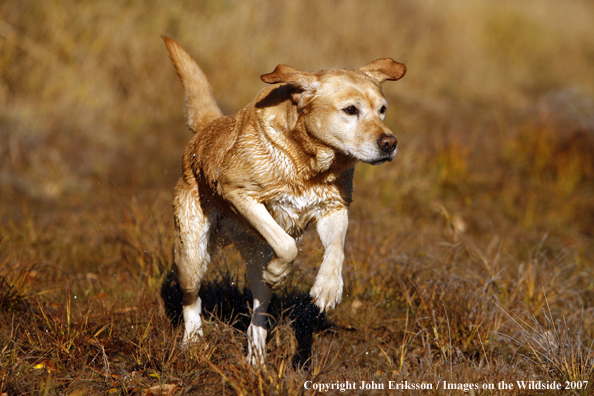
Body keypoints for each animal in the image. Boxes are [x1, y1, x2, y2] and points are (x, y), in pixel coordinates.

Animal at [162, 35, 402, 364]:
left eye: (383, 109)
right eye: (350, 110)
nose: (390, 143)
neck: (308, 163)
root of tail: (206, 128)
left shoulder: (335, 208)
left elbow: (336, 249)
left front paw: (327, 289)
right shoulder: (238, 194)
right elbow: (287, 245)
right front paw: (279, 273)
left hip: (254, 258)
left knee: (258, 313)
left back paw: (257, 358)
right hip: (191, 252)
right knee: (191, 299)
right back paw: (193, 341)